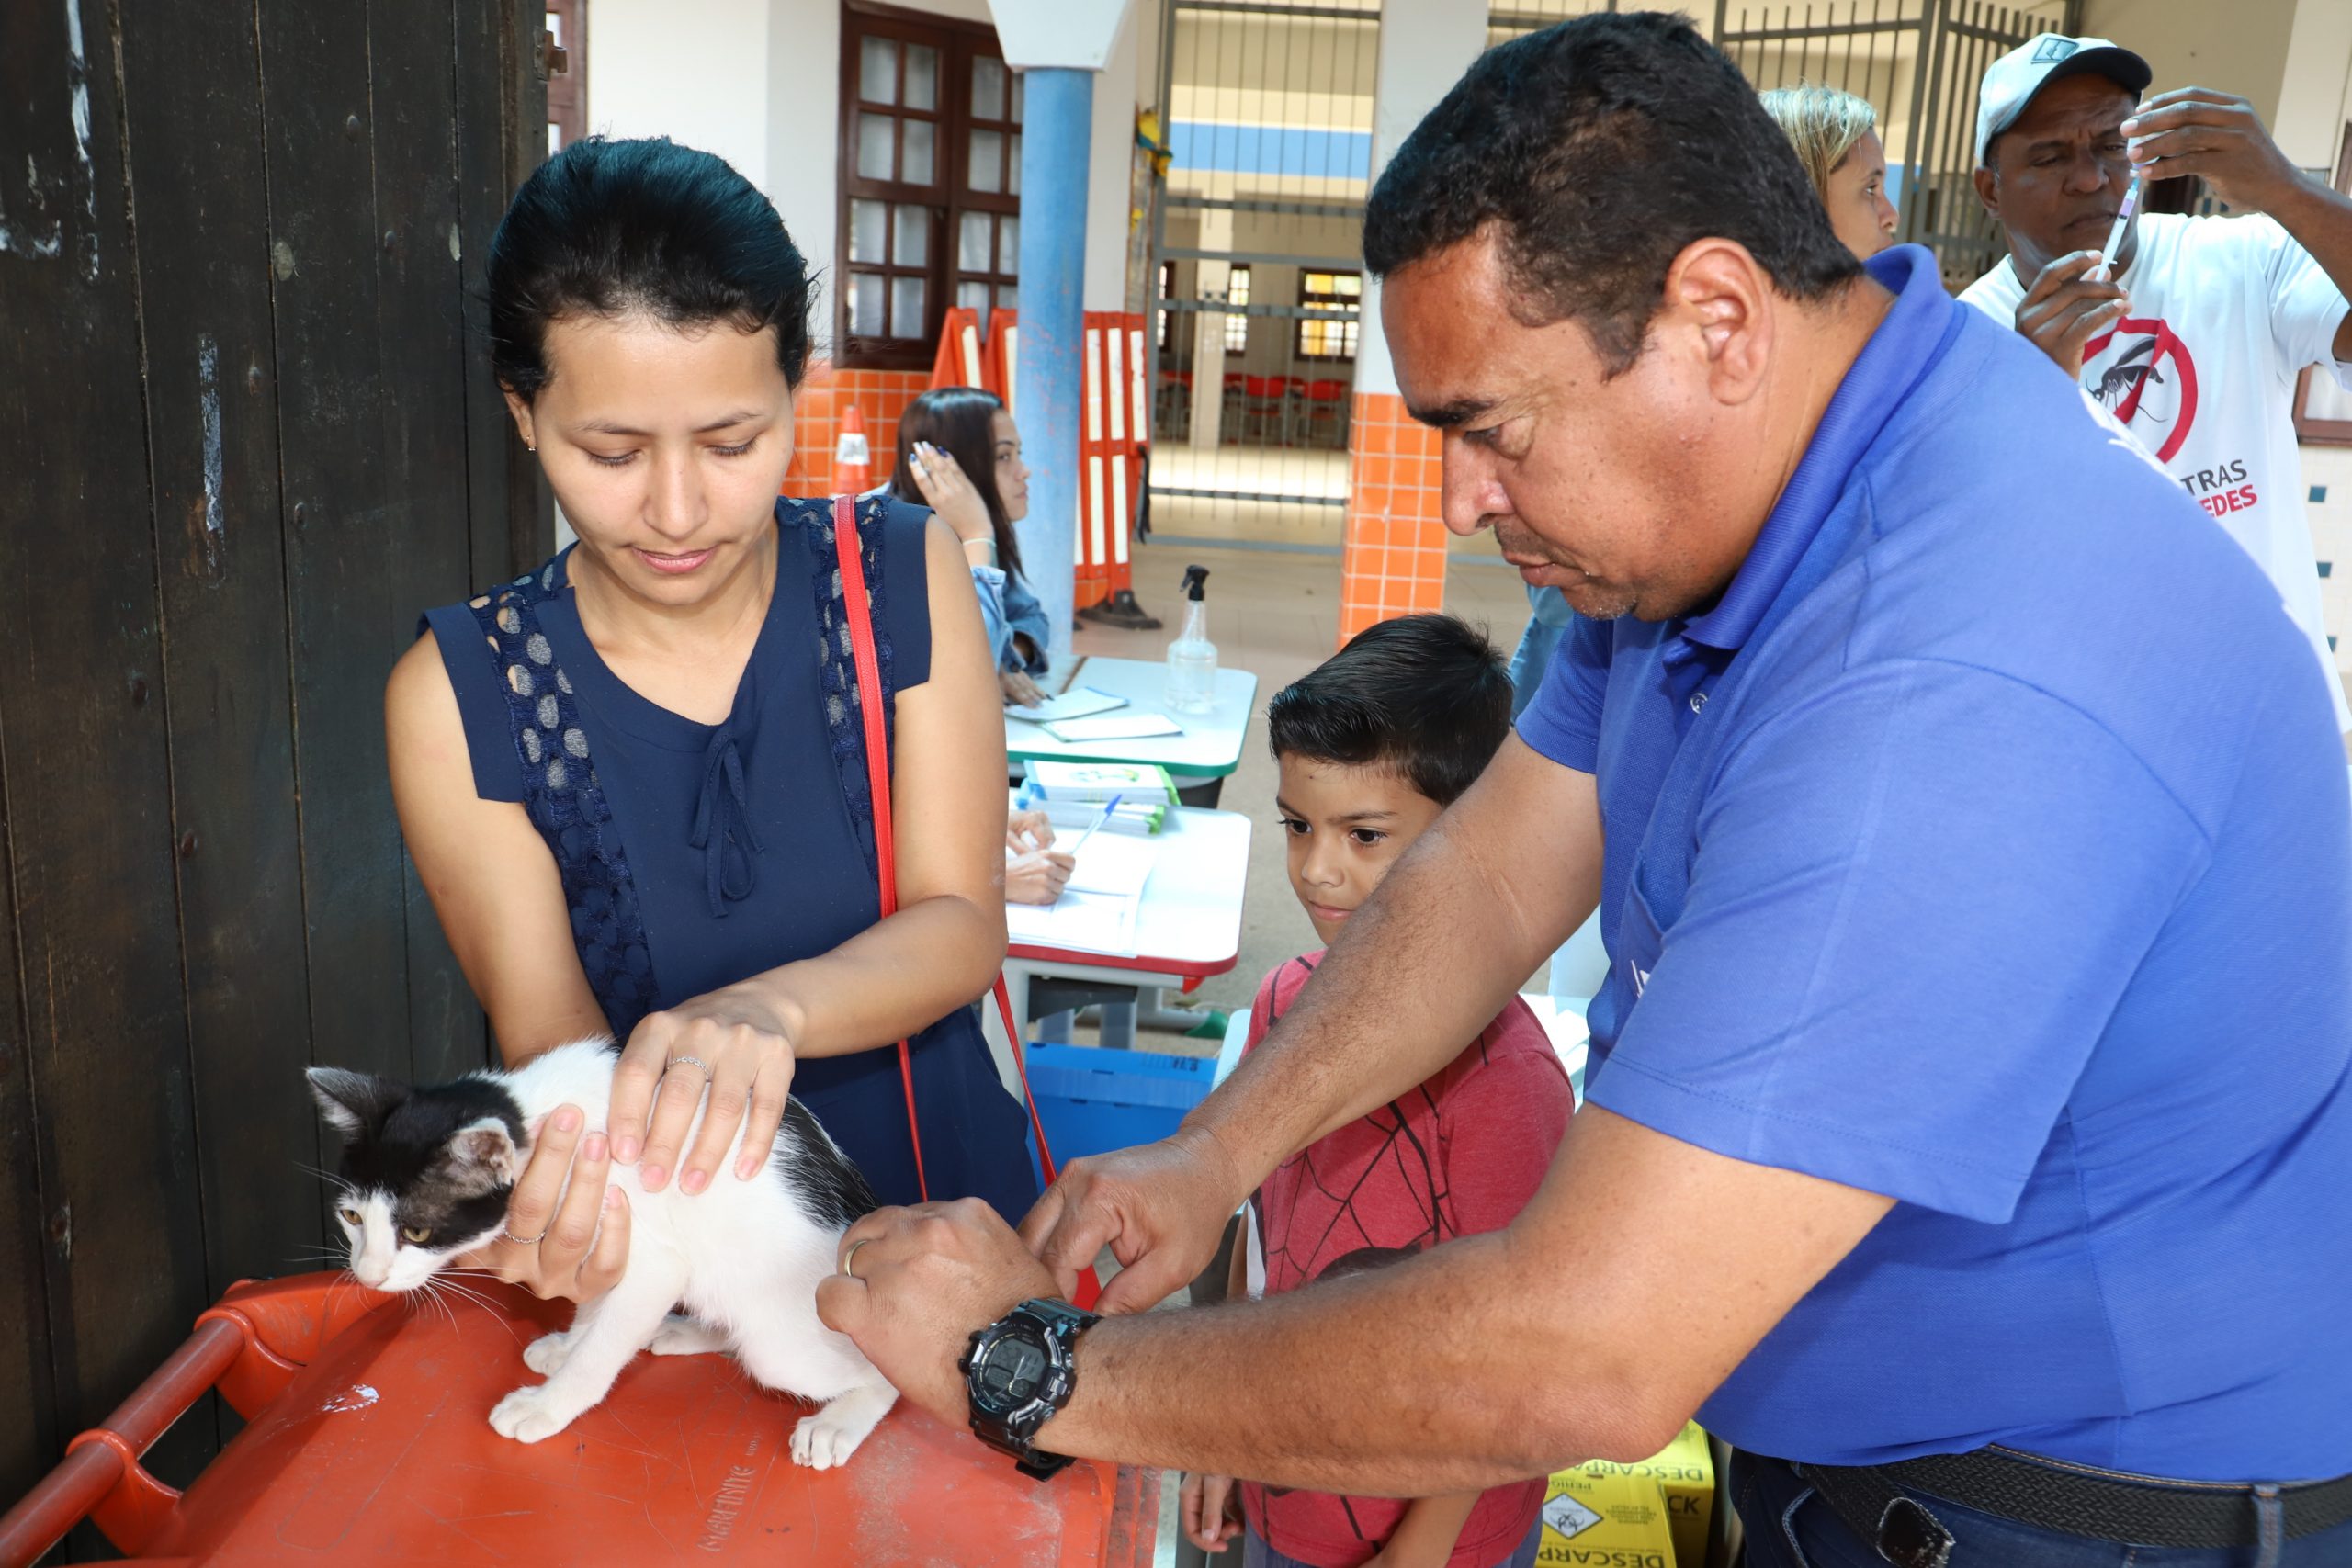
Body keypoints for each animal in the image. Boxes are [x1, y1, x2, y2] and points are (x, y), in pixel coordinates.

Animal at [308, 1043, 893, 1476]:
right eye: (352, 1217)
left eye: (416, 1230)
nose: (367, 1275)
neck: (539, 1120)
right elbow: (597, 1302)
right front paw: (570, 1343)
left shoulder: (651, 1257)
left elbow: (605, 1348)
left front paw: (547, 1403)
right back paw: (692, 1331)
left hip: (785, 1339)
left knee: (876, 1373)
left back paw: (838, 1422)